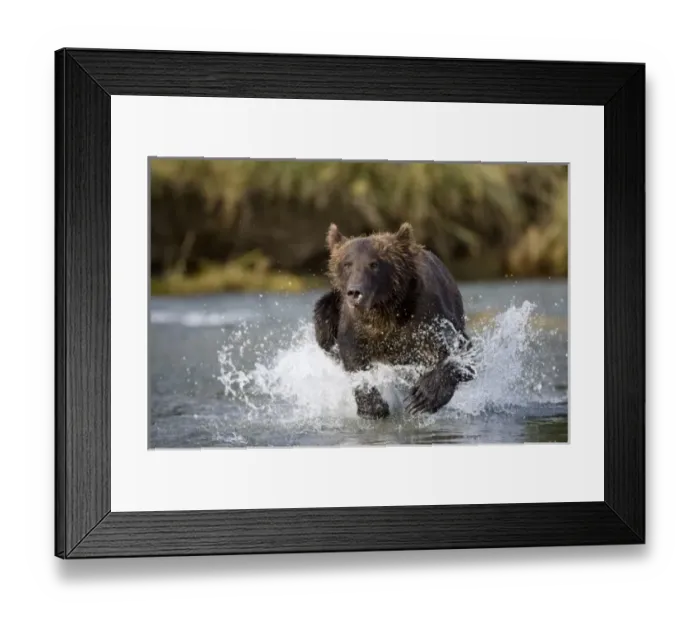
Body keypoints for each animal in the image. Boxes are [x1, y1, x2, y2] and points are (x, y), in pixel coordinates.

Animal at [313, 221, 476, 419]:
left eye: (374, 264)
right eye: (347, 264)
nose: (355, 292)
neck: (385, 312)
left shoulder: (429, 318)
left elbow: (460, 355)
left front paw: (423, 397)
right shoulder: (354, 327)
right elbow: (354, 361)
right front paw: (373, 407)